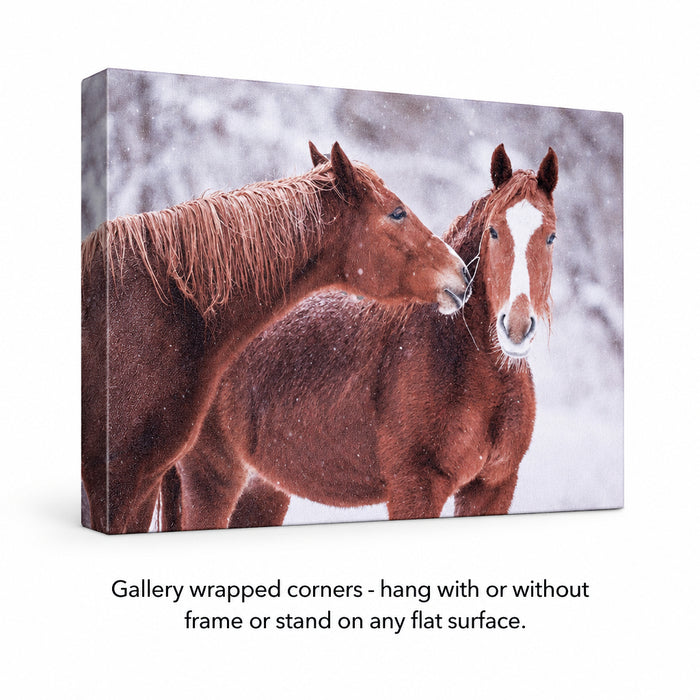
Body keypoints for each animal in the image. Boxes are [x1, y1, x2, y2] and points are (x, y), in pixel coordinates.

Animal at [162, 144, 558, 531]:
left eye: (551, 236)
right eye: (493, 231)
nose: (516, 326)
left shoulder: (494, 487)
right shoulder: (415, 488)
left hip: (264, 489)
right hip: (212, 479)